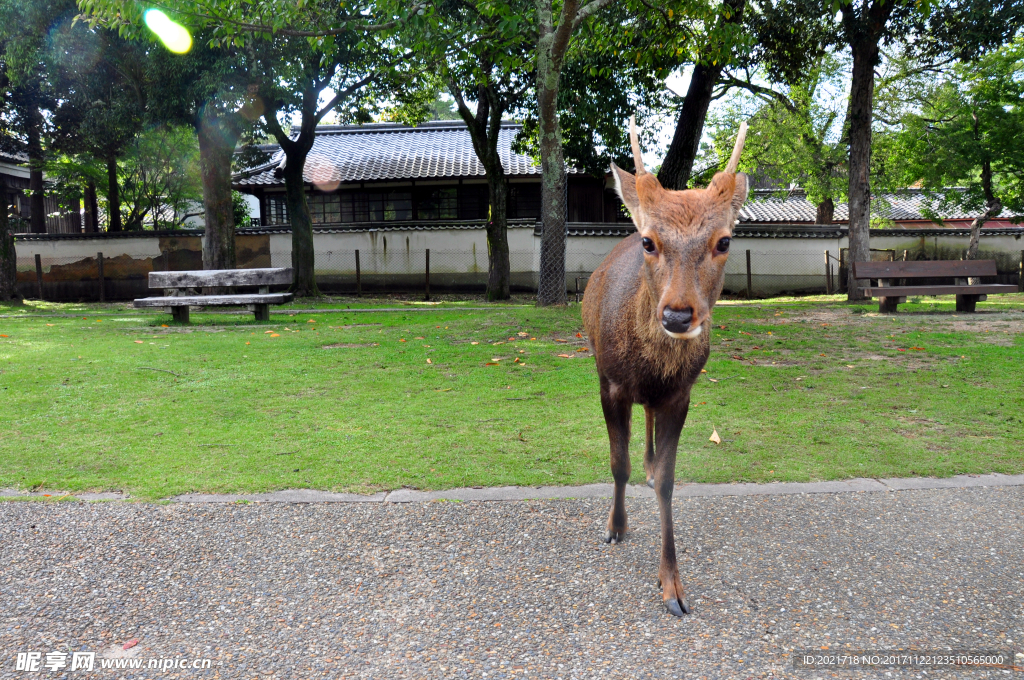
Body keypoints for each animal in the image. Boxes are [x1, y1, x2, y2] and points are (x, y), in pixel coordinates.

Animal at [585, 116, 745, 614]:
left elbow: (669, 483)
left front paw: (672, 586)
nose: (676, 315)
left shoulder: (681, 393)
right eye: (649, 241)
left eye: (724, 241)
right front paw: (615, 527)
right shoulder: (610, 383)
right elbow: (618, 464)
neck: (649, 368)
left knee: (651, 428)